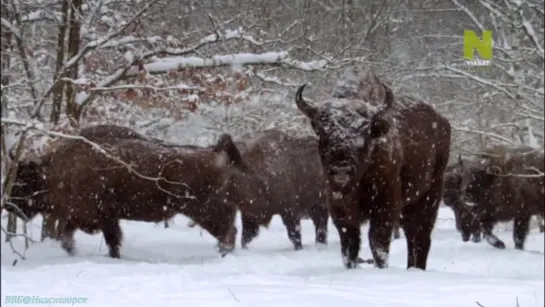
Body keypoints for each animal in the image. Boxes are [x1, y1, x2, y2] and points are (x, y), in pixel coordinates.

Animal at [294, 70, 450, 270]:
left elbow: (377, 240)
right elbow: (350, 243)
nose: (341, 169)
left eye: (363, 130)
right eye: (322, 131)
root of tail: (442, 121)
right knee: (411, 234)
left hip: (431, 193)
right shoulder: (339, 207)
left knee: (421, 235)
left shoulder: (385, 204)